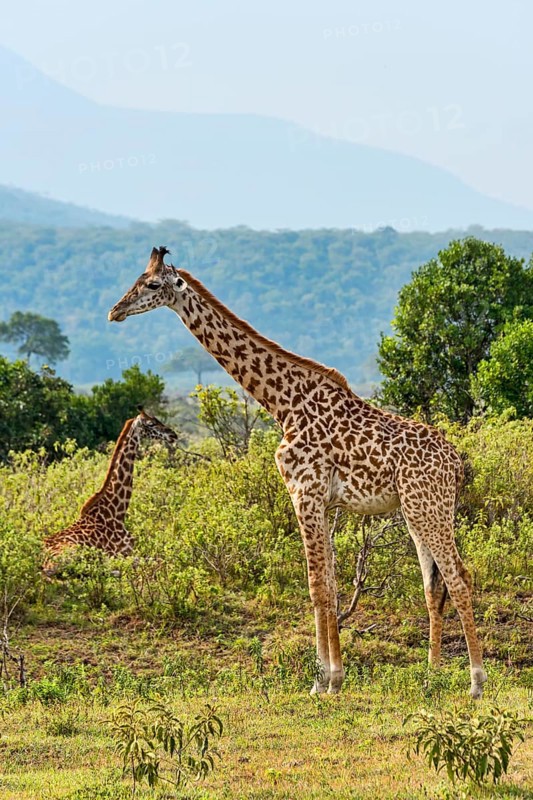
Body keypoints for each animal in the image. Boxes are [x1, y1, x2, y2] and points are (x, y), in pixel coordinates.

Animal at [43, 408, 178, 574]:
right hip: (73, 553)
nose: (173, 434)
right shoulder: (122, 552)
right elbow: (157, 560)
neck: (116, 515)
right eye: (151, 423)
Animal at [108, 246, 487, 699]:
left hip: (428, 508)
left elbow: (317, 585)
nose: (115, 310)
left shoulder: (304, 492)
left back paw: (476, 682)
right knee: (434, 586)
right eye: (134, 279)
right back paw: (432, 676)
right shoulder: (320, 501)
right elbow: (331, 585)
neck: (283, 403)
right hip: (419, 511)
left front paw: (326, 680)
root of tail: (458, 462)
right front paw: (329, 678)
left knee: (460, 577)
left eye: (150, 284)